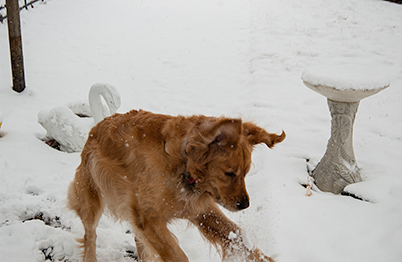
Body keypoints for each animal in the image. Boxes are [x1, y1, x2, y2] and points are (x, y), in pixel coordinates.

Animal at [67, 109, 284, 260]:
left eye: (245, 173)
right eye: (229, 173)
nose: (244, 204)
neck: (183, 163)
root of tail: (96, 128)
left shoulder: (201, 211)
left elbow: (241, 238)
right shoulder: (148, 217)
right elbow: (177, 255)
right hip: (91, 199)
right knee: (90, 235)